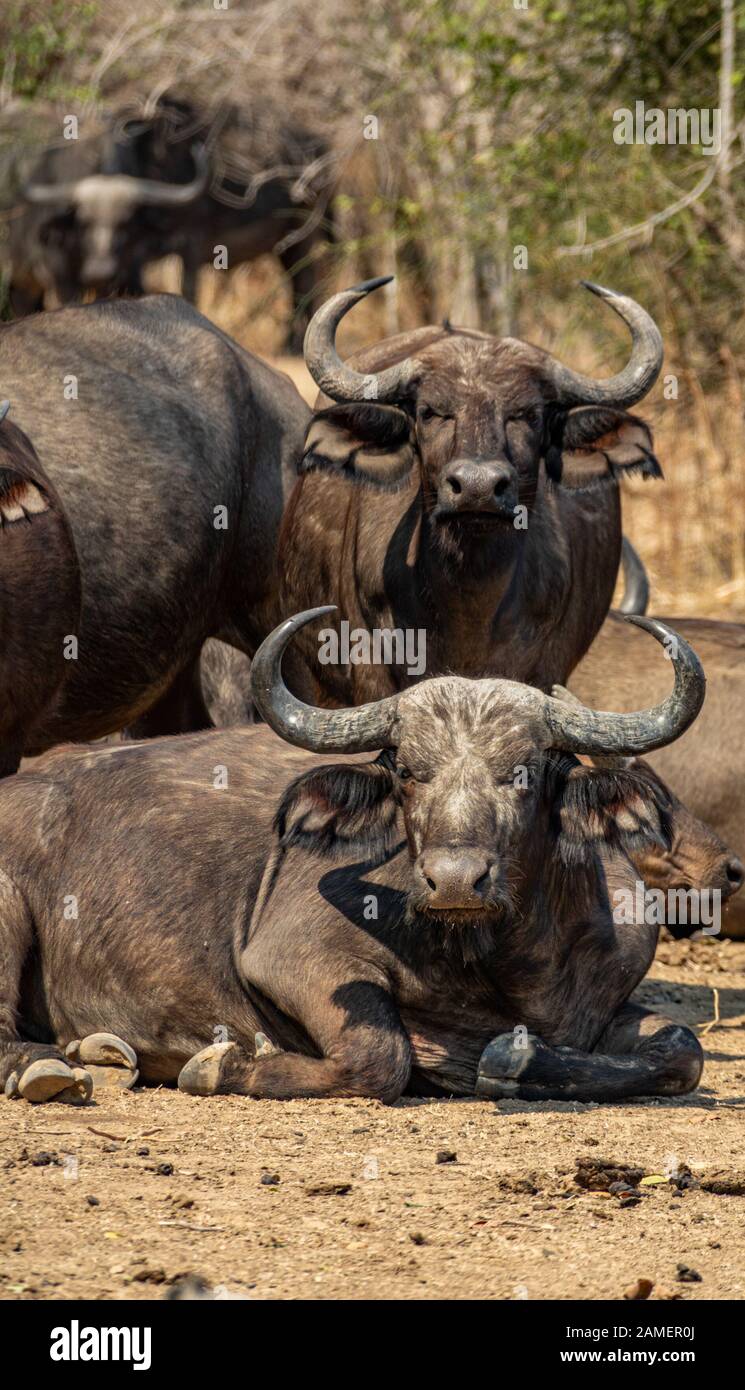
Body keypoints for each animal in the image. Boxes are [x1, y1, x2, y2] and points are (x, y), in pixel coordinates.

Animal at [0, 608, 706, 1106]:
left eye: (523, 773)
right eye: (409, 772)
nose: (455, 881)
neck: (492, 966)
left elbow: (683, 1048)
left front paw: (516, 1059)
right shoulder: (293, 957)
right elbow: (380, 1054)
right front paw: (221, 1065)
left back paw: (99, 1055)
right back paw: (48, 1069)